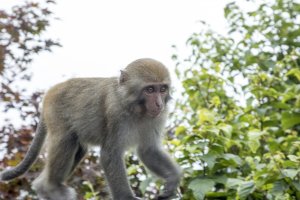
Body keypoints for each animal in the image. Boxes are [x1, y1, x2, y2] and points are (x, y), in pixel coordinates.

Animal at [0, 58, 180, 200]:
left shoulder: (158, 117)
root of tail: (51, 91)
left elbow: (148, 150)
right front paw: (126, 198)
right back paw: (51, 188)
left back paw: (43, 187)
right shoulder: (115, 114)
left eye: (162, 89)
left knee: (79, 149)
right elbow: (110, 155)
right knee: (65, 140)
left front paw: (173, 178)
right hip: (55, 112)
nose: (159, 104)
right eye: (150, 90)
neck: (134, 108)